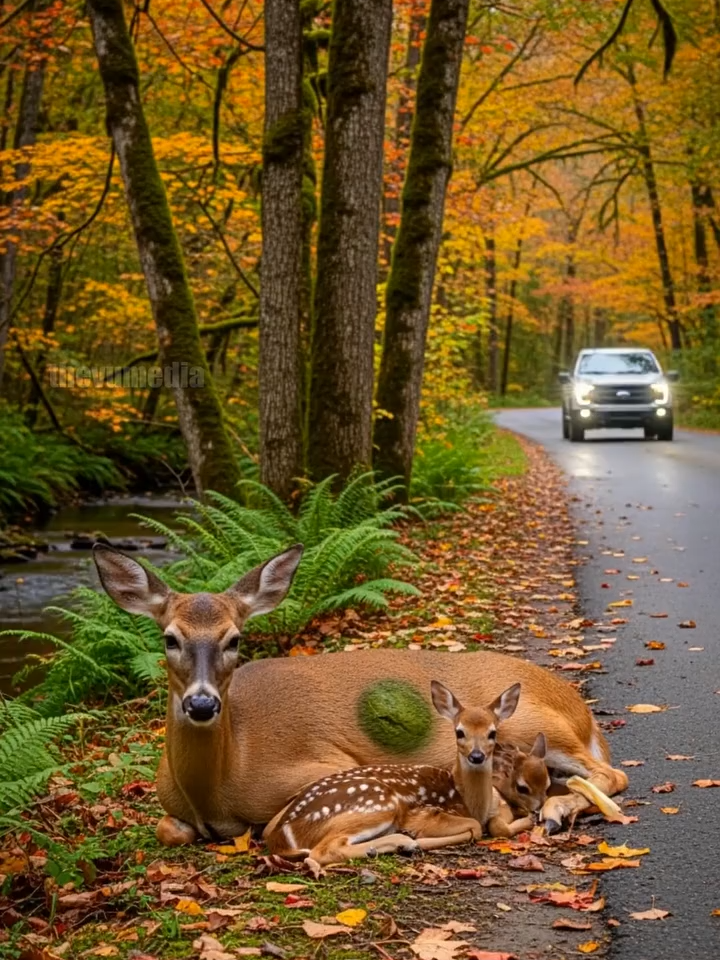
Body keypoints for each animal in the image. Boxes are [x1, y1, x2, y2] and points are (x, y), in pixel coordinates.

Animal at [263, 679, 543, 865]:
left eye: (492, 733)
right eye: (459, 732)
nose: (476, 756)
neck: (470, 801)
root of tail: (284, 834)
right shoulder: (426, 813)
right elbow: (474, 827)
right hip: (380, 803)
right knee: (322, 852)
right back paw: (402, 842)